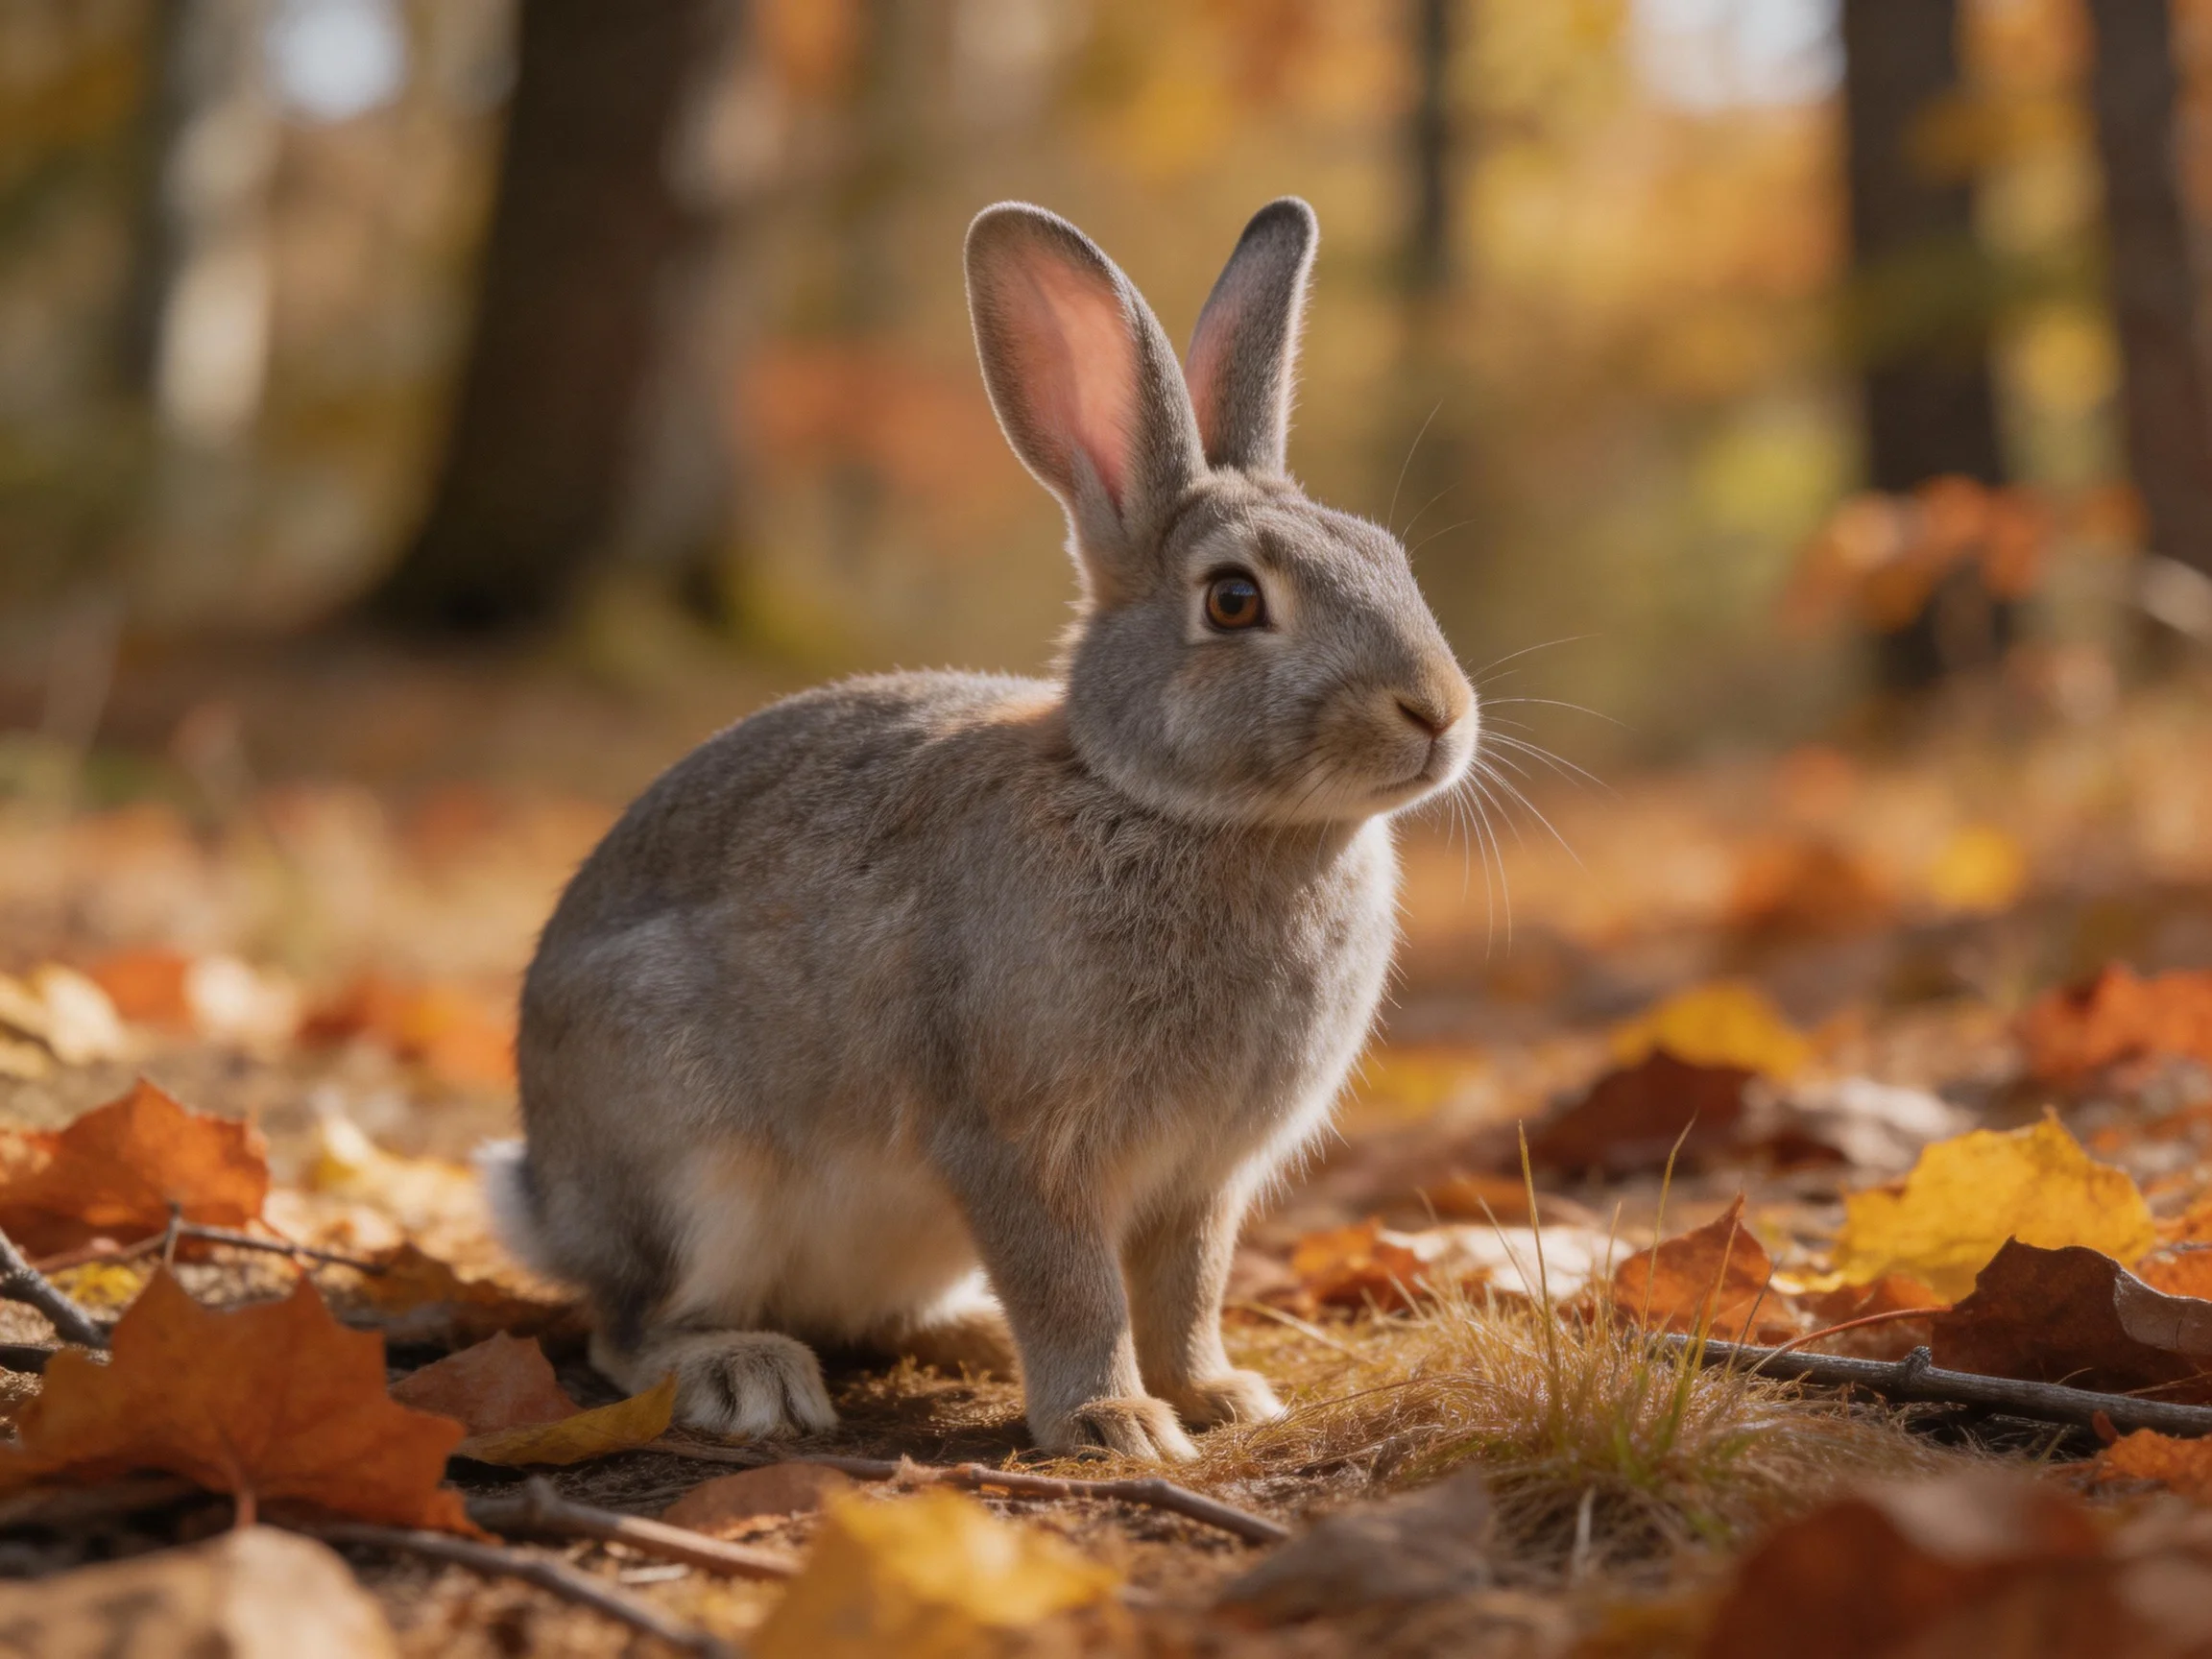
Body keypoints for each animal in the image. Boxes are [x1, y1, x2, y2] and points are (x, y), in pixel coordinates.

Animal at [480, 196, 1477, 1461]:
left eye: (1391, 560)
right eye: (1233, 599)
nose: (1437, 712)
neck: (1171, 806)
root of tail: (549, 1198)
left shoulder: (1202, 1181)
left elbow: (1186, 1287)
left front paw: (1217, 1397)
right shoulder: (1013, 1142)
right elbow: (1073, 1286)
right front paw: (1116, 1423)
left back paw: (966, 1339)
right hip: (691, 1166)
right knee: (631, 1328)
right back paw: (747, 1376)